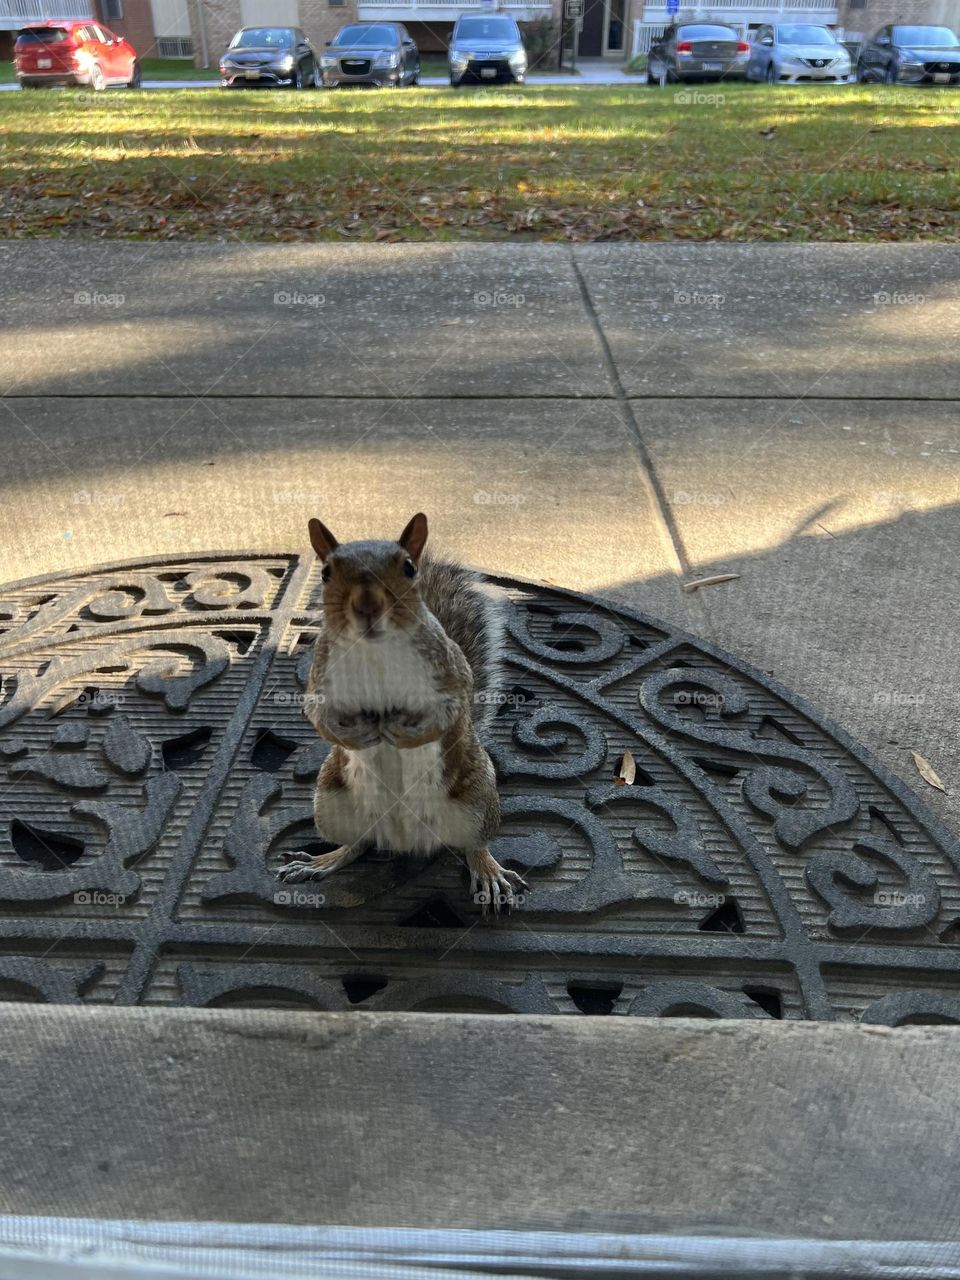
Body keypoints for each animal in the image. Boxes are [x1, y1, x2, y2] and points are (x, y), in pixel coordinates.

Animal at [277, 513, 528, 914]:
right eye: (326, 572)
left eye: (409, 568)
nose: (367, 607)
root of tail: (406, 839)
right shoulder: (321, 678)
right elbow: (318, 716)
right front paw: (360, 735)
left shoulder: (451, 674)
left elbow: (452, 709)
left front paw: (402, 735)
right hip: (330, 802)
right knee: (358, 844)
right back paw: (322, 861)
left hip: (477, 803)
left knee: (474, 845)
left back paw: (488, 871)